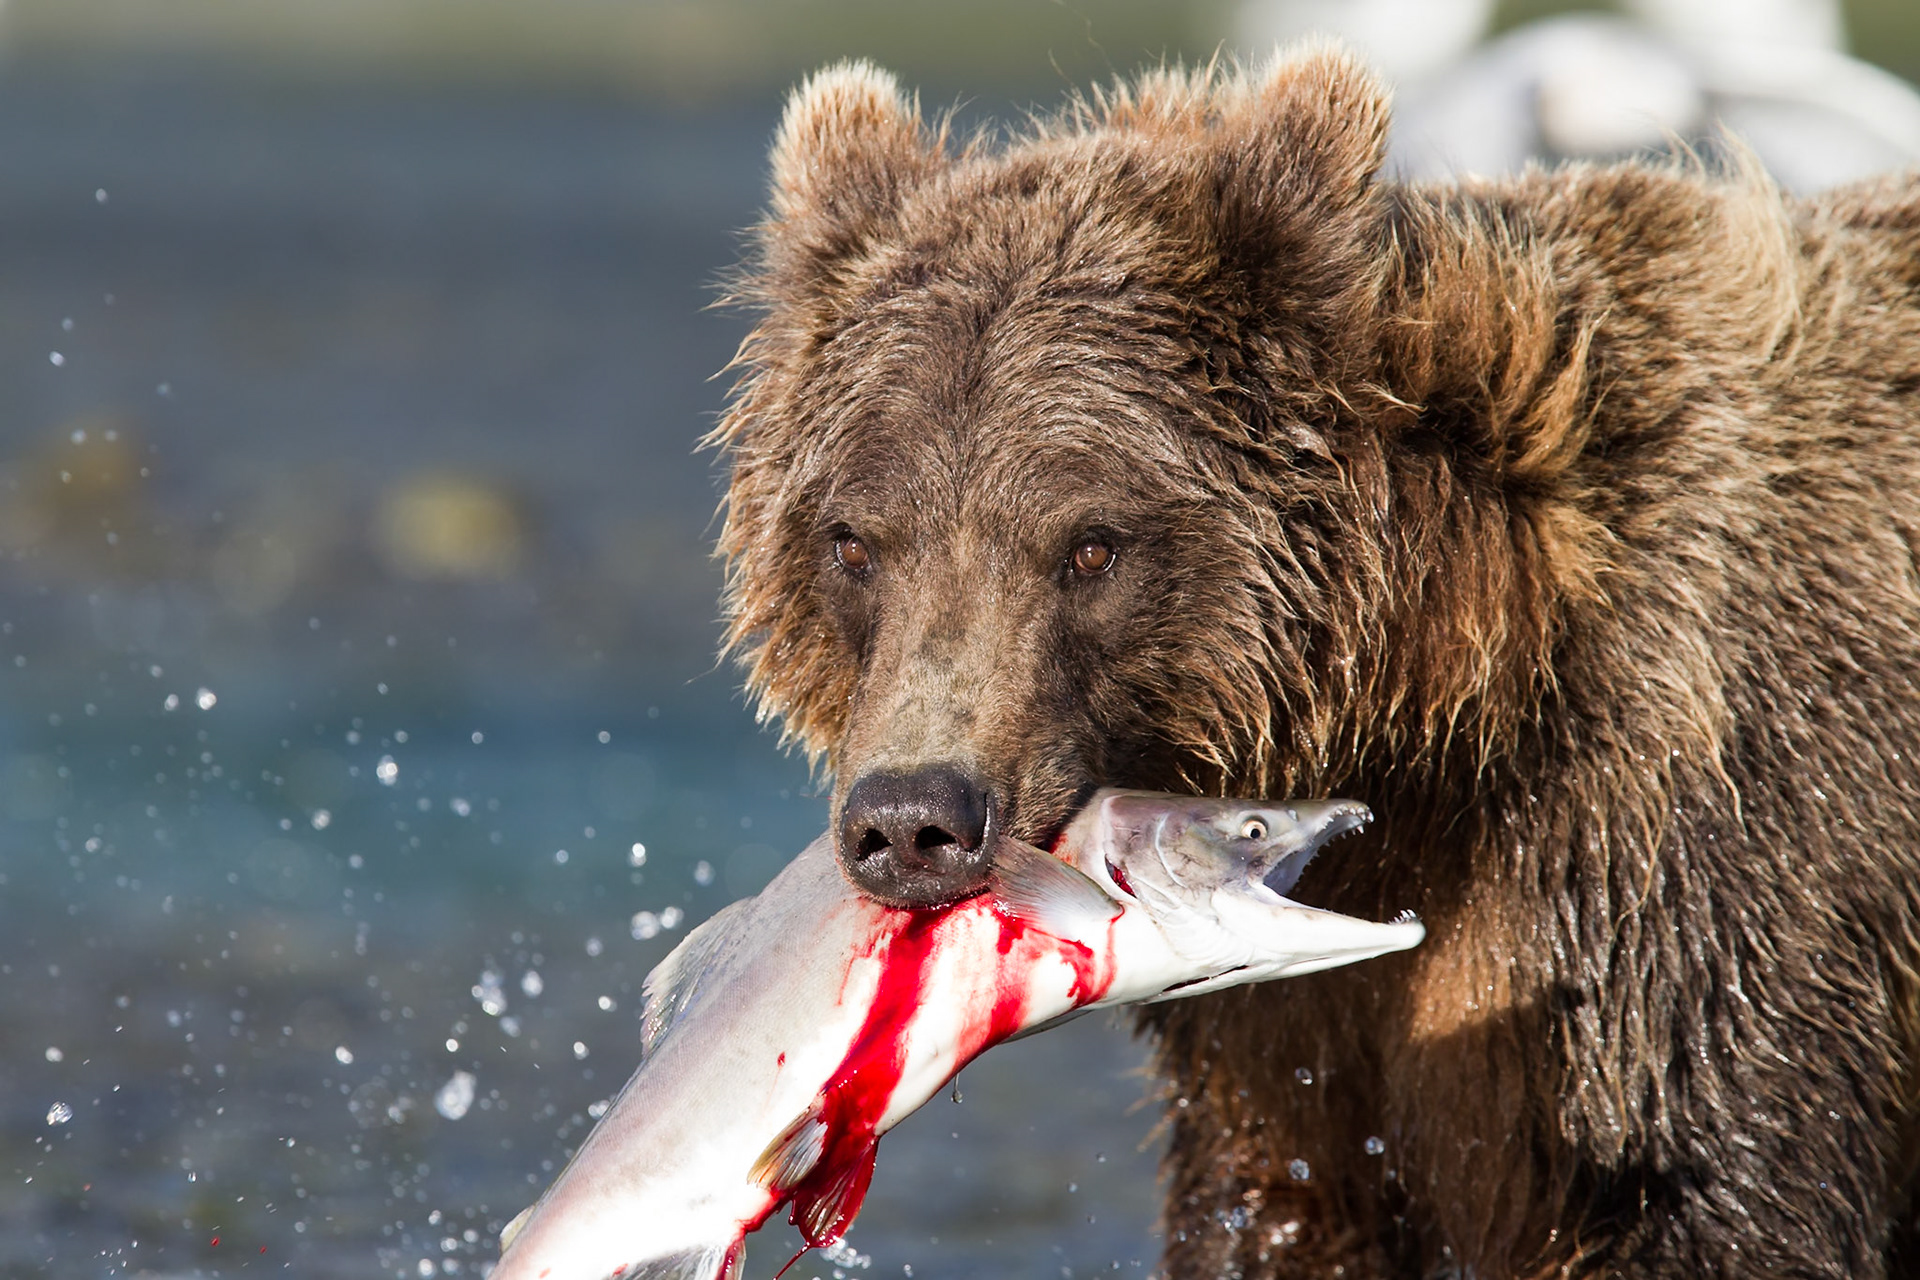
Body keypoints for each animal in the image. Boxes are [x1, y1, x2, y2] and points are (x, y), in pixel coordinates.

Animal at [709, 45, 1920, 1279]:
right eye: (855, 540)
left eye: (1090, 542)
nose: (914, 817)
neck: (1447, 714)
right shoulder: (1290, 1040)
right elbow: (1280, 1202)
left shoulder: (1690, 864)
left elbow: (1710, 1187)